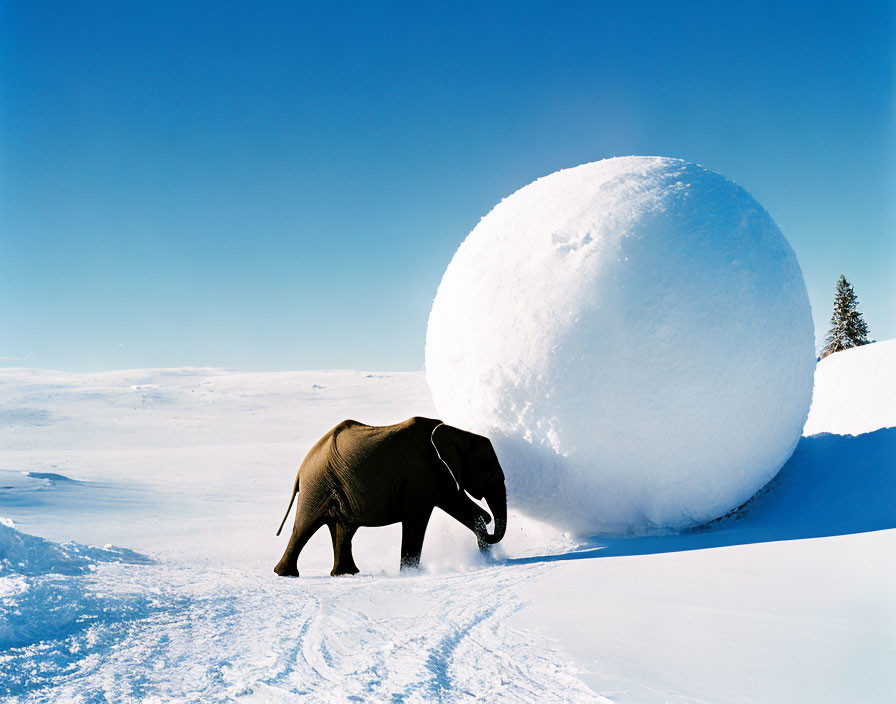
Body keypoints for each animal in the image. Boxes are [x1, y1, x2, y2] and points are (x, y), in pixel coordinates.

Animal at [272, 416, 508, 576]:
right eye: (489, 474)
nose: (488, 516)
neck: (457, 433)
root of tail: (302, 468)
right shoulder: (420, 474)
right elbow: (417, 519)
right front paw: (409, 575)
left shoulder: (441, 474)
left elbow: (459, 505)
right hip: (318, 484)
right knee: (306, 525)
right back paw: (285, 574)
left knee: (343, 528)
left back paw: (346, 574)